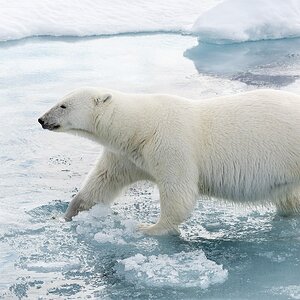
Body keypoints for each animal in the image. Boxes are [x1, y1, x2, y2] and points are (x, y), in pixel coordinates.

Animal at [38, 88, 300, 236]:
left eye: (63, 105)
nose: (41, 119)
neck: (141, 127)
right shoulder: (128, 155)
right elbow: (102, 182)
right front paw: (66, 216)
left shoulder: (171, 145)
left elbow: (179, 191)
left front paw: (149, 228)